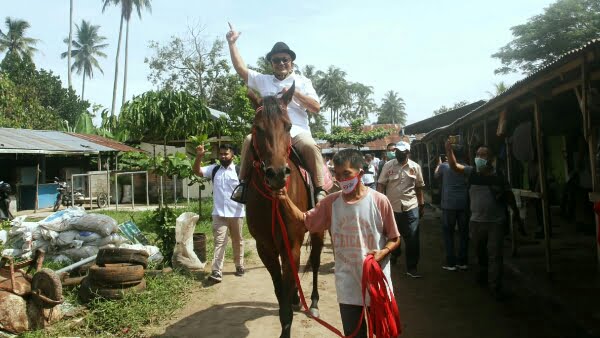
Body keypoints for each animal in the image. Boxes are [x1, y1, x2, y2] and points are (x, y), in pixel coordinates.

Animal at [246, 82, 326, 338]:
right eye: (257, 128)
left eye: (288, 126)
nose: (277, 174)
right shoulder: (266, 248)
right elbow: (279, 290)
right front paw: (289, 301)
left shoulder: (291, 244)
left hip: (319, 231)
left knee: (315, 263)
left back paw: (313, 302)